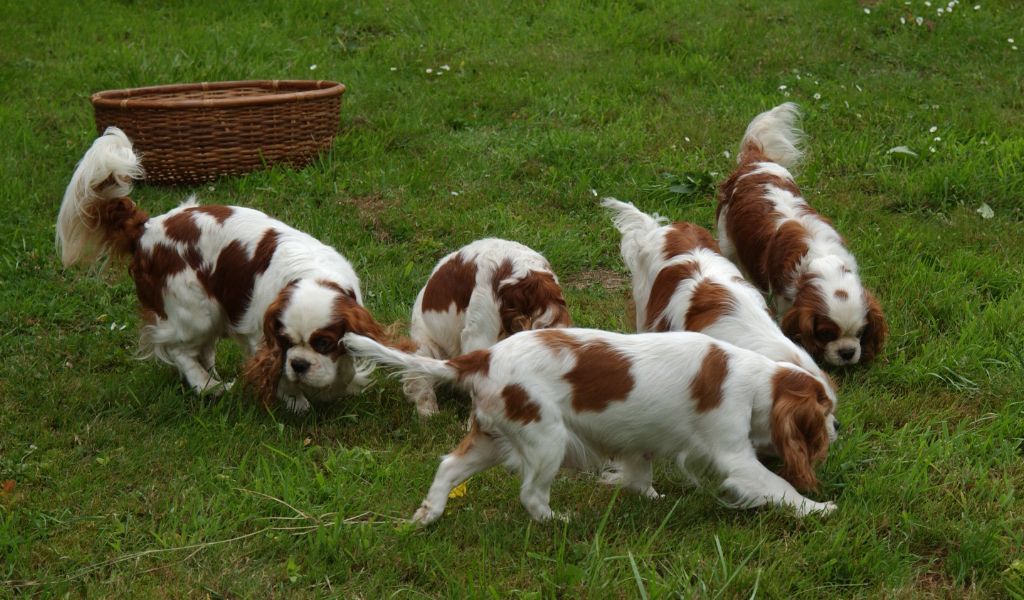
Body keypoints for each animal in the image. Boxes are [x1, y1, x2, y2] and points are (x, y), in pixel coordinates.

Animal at [57, 127, 395, 411]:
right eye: (285, 342)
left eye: (323, 343)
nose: (299, 364)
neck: (313, 275)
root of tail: (148, 228)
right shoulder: (262, 333)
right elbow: (279, 372)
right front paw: (295, 399)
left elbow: (347, 365)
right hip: (196, 310)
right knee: (179, 350)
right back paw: (207, 385)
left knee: (201, 350)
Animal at [344, 327, 839, 524]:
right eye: (826, 410)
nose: (838, 428)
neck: (754, 380)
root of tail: (483, 357)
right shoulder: (735, 456)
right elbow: (777, 485)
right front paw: (819, 508)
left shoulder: (643, 439)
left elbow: (639, 470)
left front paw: (649, 497)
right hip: (546, 438)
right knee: (531, 494)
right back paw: (558, 522)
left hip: (494, 436)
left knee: (448, 466)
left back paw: (428, 515)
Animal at [712, 102, 888, 364]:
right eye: (826, 334)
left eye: (860, 333)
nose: (847, 353)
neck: (821, 260)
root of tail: (755, 161)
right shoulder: (785, 300)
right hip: (726, 239)